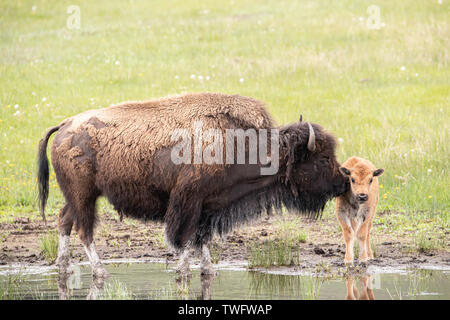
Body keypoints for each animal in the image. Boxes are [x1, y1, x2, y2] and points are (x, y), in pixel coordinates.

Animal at [38, 92, 348, 278]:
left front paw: (208, 270)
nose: (344, 181)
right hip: (85, 195)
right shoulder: (188, 201)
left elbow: (203, 237)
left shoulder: (211, 205)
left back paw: (64, 267)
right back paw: (99, 271)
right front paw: (183, 270)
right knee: (84, 229)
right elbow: (185, 238)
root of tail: (65, 124)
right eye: (322, 158)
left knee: (64, 221)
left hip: (76, 196)